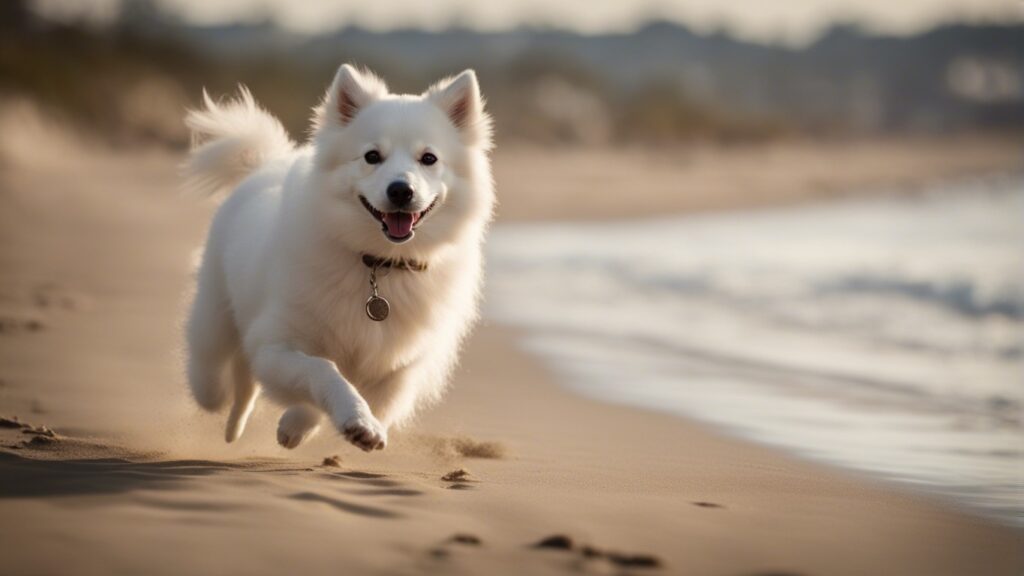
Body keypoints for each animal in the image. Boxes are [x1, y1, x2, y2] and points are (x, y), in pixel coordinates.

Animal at [185, 62, 495, 448]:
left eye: (429, 159)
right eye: (372, 156)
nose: (401, 190)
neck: (378, 263)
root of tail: (263, 166)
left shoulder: (400, 367)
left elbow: (367, 396)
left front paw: (313, 425)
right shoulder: (277, 344)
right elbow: (323, 369)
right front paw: (350, 417)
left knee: (243, 380)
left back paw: (234, 428)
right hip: (216, 315)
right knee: (210, 368)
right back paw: (215, 398)